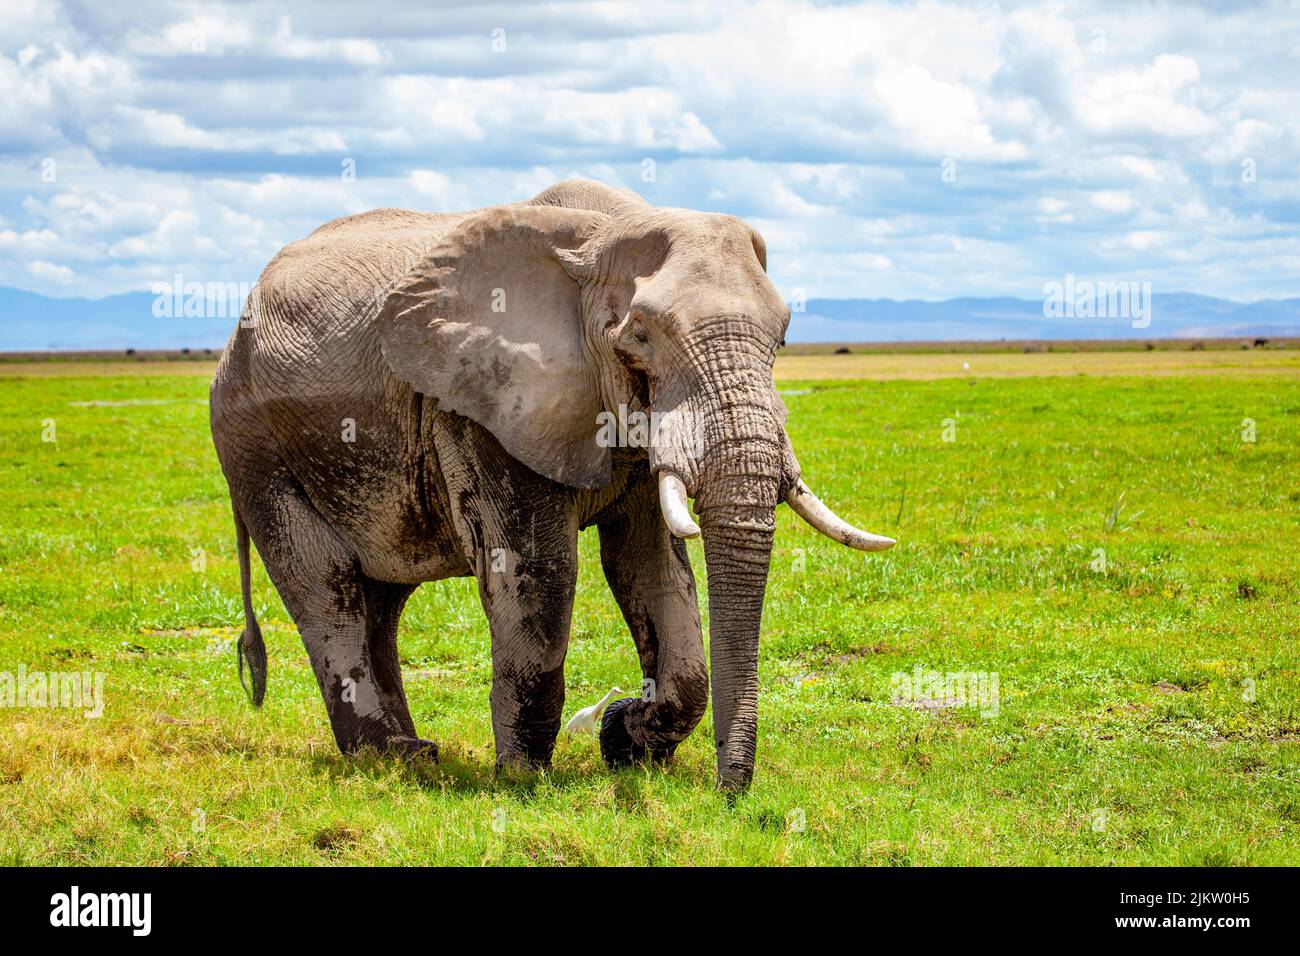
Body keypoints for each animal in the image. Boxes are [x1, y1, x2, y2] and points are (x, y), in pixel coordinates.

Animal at [208, 175, 894, 790]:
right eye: (641, 335)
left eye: (783, 335)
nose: (732, 795)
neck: (602, 237)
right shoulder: (477, 406)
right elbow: (540, 570)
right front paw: (523, 779)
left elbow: (649, 566)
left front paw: (624, 741)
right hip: (251, 442)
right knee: (328, 584)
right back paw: (389, 757)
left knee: (382, 596)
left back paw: (414, 754)